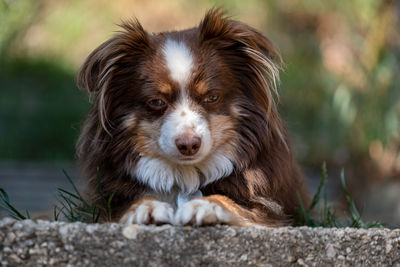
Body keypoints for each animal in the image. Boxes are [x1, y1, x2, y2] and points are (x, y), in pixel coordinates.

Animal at [76, 9, 310, 227]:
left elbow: (233, 202)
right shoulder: (105, 203)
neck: (186, 175)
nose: (188, 145)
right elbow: (125, 205)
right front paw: (143, 208)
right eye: (156, 102)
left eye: (211, 97)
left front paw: (205, 205)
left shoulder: (272, 209)